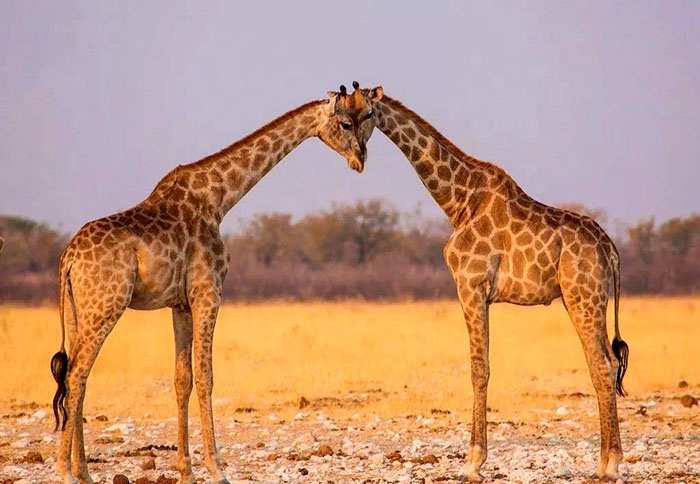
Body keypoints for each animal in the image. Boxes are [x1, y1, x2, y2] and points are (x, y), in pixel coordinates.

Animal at [51, 87, 380, 484]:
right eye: (346, 122)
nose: (360, 159)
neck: (219, 197)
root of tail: (68, 258)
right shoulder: (209, 292)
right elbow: (206, 376)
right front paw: (216, 467)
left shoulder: (180, 303)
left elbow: (182, 379)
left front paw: (186, 470)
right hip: (106, 305)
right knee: (76, 373)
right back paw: (66, 471)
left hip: (77, 310)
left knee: (77, 376)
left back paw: (83, 471)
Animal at [360, 85, 628, 482]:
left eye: (364, 114)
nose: (356, 151)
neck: (458, 200)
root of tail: (610, 248)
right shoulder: (478, 291)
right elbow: (481, 366)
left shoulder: (470, 285)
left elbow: (478, 369)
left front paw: (473, 461)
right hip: (587, 298)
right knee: (605, 362)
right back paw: (606, 460)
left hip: (584, 295)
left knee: (603, 365)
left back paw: (609, 464)